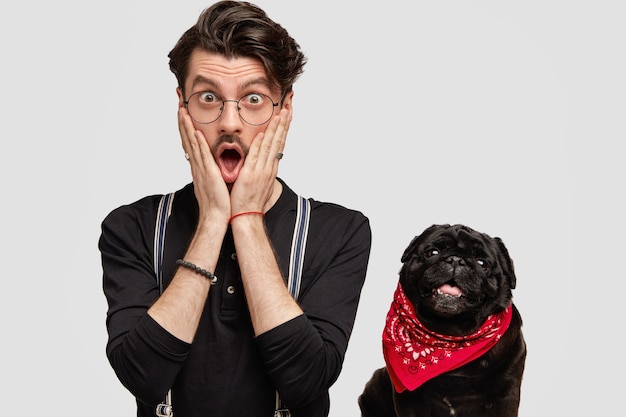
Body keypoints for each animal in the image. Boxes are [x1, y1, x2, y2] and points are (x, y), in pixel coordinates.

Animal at [358, 224, 524, 416]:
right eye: (433, 252)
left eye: (482, 263)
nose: (456, 260)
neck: (450, 336)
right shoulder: (411, 400)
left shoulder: (506, 395)